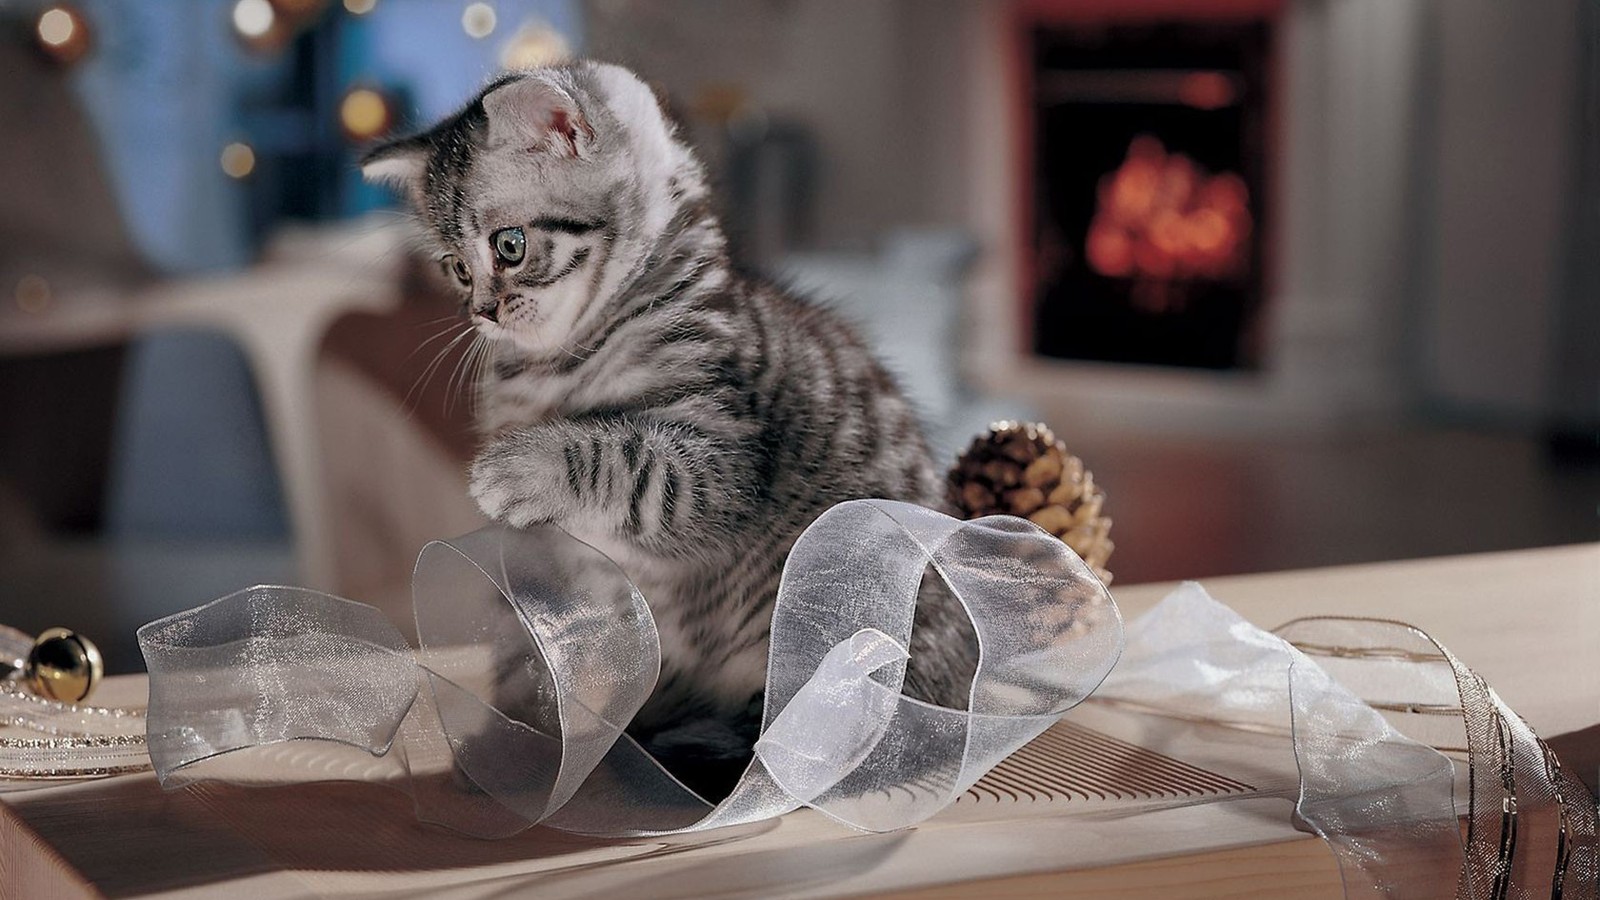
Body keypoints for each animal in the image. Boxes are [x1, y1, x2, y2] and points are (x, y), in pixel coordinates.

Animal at [368, 63, 966, 791]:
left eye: (509, 247)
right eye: (455, 267)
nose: (481, 311)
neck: (557, 367)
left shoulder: (723, 462)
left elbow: (628, 459)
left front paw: (520, 466)